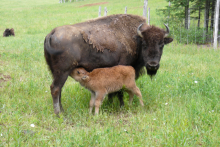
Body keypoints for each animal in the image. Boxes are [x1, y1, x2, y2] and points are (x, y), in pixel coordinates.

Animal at [43, 13, 174, 115]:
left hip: (55, 72)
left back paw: (62, 111)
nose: (153, 65)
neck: (135, 38)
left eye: (161, 45)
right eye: (144, 44)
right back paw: (59, 114)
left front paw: (110, 103)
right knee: (55, 89)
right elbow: (120, 90)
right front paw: (121, 106)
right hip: (63, 72)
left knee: (58, 89)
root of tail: (51, 34)